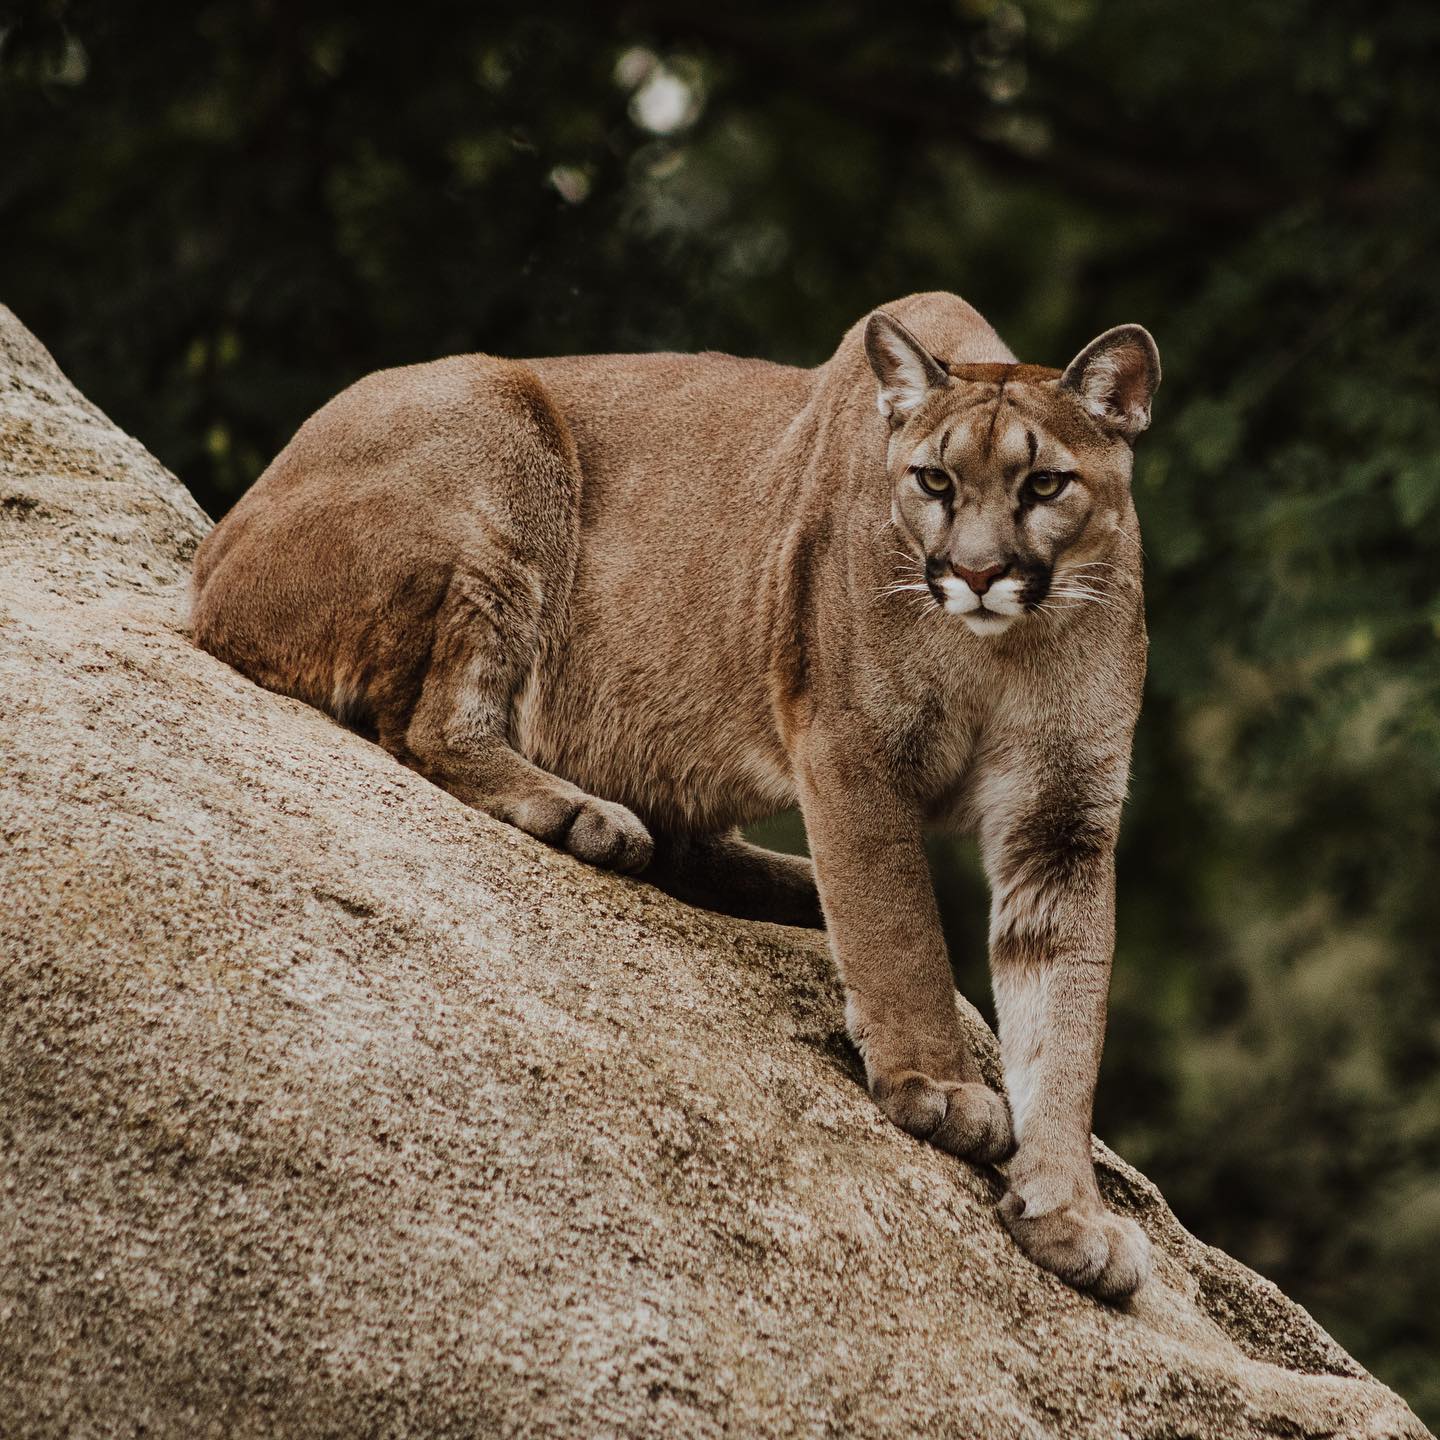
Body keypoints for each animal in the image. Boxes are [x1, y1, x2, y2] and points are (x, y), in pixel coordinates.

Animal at [191, 286, 1157, 1301]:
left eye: (1044, 485)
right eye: (933, 481)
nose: (974, 574)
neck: (1000, 649)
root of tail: (210, 558)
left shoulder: (1063, 820)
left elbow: (1065, 1019)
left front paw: (1068, 1213)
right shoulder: (851, 749)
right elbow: (899, 931)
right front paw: (941, 1087)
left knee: (688, 840)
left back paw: (782, 885)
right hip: (501, 431)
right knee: (430, 726)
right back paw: (585, 816)